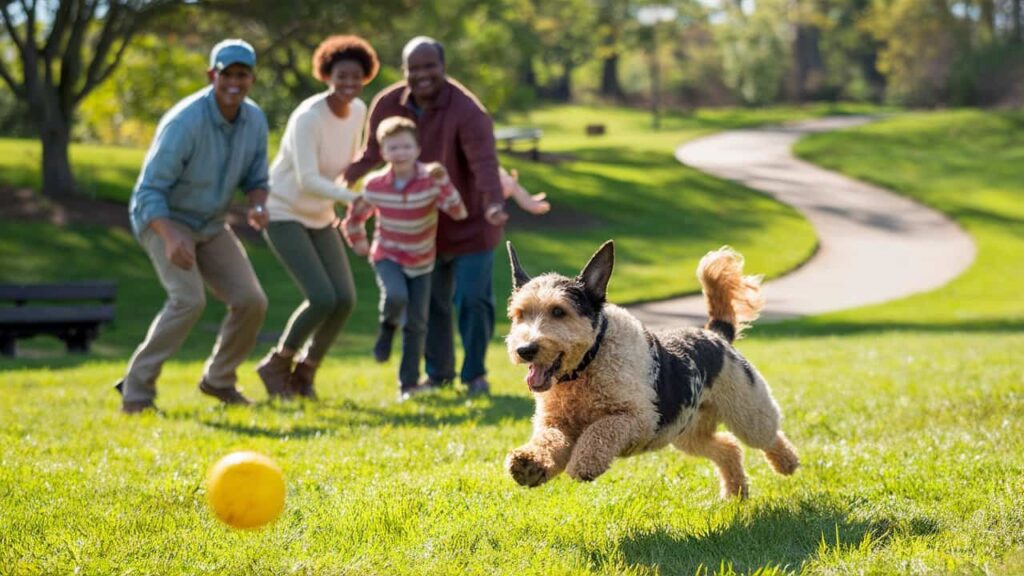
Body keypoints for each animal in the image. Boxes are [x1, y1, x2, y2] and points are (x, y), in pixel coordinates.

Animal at [503, 239, 798, 496]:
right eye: (519, 314)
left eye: (558, 311)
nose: (525, 349)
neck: (589, 364)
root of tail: (716, 334)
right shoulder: (557, 423)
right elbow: (548, 440)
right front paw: (528, 464)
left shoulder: (638, 417)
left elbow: (601, 429)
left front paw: (584, 463)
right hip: (688, 430)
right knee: (729, 447)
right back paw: (735, 493)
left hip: (746, 408)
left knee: (767, 434)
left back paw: (787, 463)